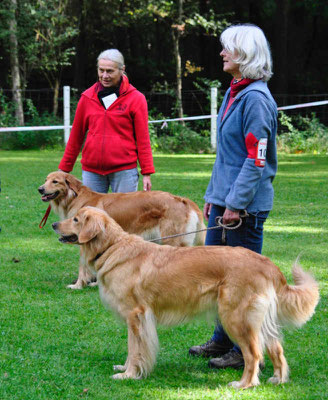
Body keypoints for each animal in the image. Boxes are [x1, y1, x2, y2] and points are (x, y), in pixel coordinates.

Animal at [38, 170, 205, 290]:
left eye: (55, 181)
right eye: (46, 179)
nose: (40, 189)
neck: (74, 198)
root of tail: (183, 200)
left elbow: (82, 266)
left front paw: (78, 285)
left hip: (172, 240)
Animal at [52, 206, 320, 388]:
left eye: (75, 219)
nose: (54, 225)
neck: (112, 247)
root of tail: (266, 262)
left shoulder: (136, 316)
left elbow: (136, 349)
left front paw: (129, 375)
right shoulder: (135, 320)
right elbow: (131, 349)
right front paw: (126, 368)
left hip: (236, 318)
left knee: (254, 354)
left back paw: (244, 384)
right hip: (259, 320)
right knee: (277, 350)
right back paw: (277, 379)